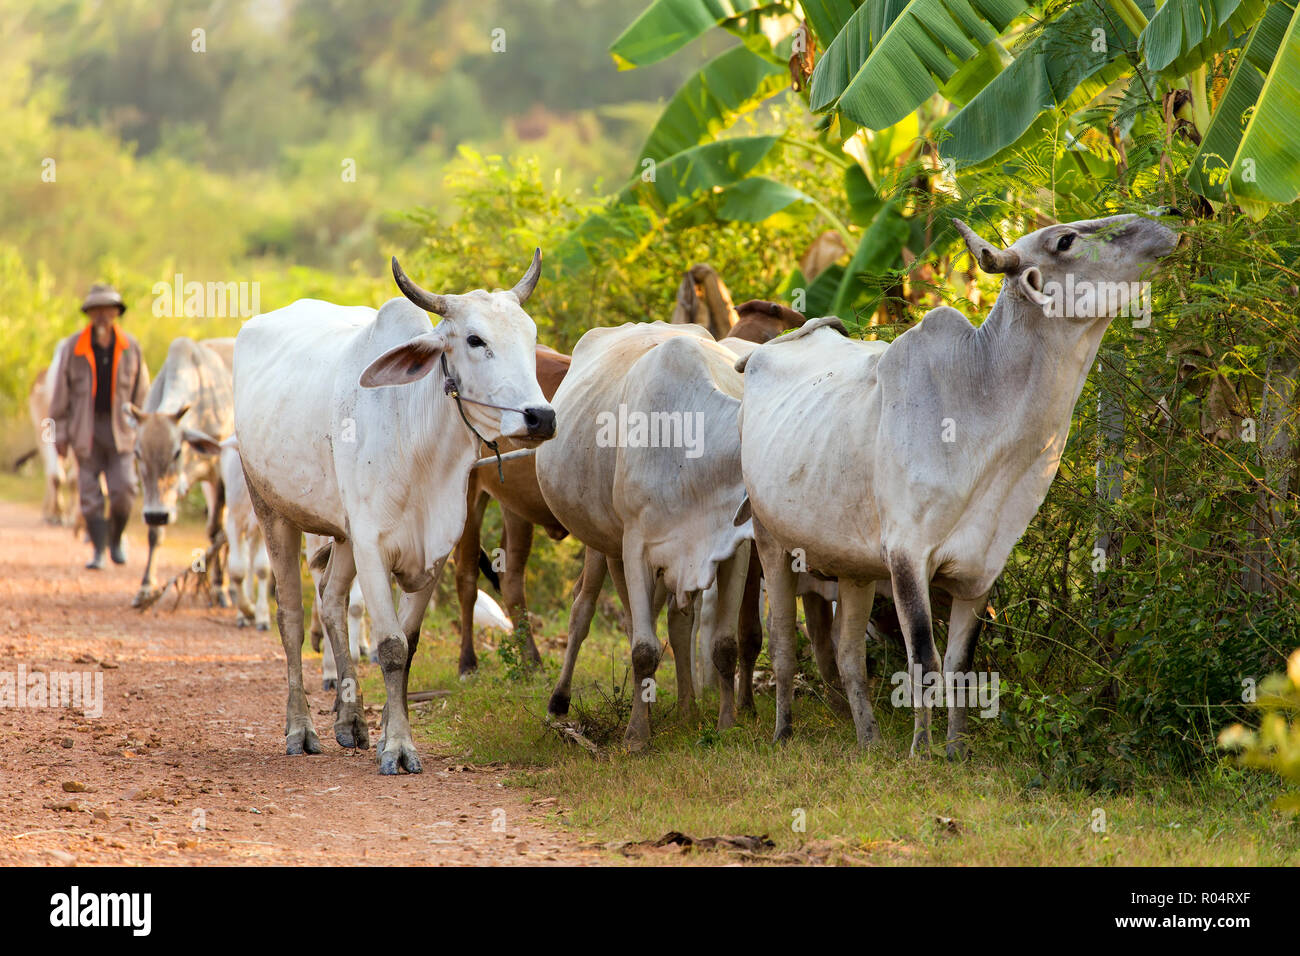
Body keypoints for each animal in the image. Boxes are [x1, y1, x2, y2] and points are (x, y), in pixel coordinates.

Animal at [233, 251, 553, 775]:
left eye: (531, 337)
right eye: (475, 339)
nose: (541, 417)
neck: (417, 438)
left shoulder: (432, 551)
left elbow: (409, 642)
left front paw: (386, 731)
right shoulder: (372, 545)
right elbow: (389, 647)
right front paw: (399, 747)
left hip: (343, 533)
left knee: (331, 600)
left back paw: (350, 720)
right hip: (272, 510)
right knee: (293, 617)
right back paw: (301, 730)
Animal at [535, 321, 754, 749]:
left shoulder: (732, 549)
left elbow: (723, 644)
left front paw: (726, 725)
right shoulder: (635, 546)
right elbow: (643, 650)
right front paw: (637, 737)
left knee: (673, 622)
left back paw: (687, 709)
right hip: (603, 545)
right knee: (583, 611)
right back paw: (559, 701)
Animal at [743, 213, 1180, 759]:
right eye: (1065, 240)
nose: (1163, 222)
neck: (981, 402)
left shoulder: (982, 568)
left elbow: (958, 666)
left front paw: (955, 750)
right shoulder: (907, 555)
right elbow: (923, 661)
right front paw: (920, 752)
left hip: (854, 567)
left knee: (847, 654)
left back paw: (868, 740)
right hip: (771, 543)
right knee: (782, 644)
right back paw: (783, 731)